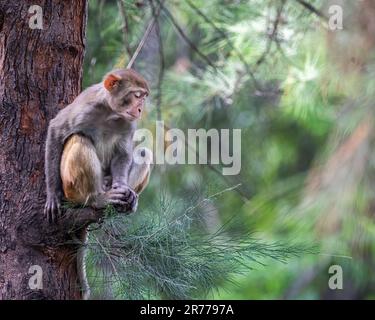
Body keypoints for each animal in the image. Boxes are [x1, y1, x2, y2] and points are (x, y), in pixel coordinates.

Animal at [45, 68, 153, 222]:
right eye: (137, 95)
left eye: (144, 98)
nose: (140, 109)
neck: (110, 113)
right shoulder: (84, 109)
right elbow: (55, 131)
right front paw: (53, 194)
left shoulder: (129, 122)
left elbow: (123, 153)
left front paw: (122, 186)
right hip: (70, 187)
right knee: (80, 139)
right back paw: (95, 199)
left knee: (144, 152)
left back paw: (127, 200)